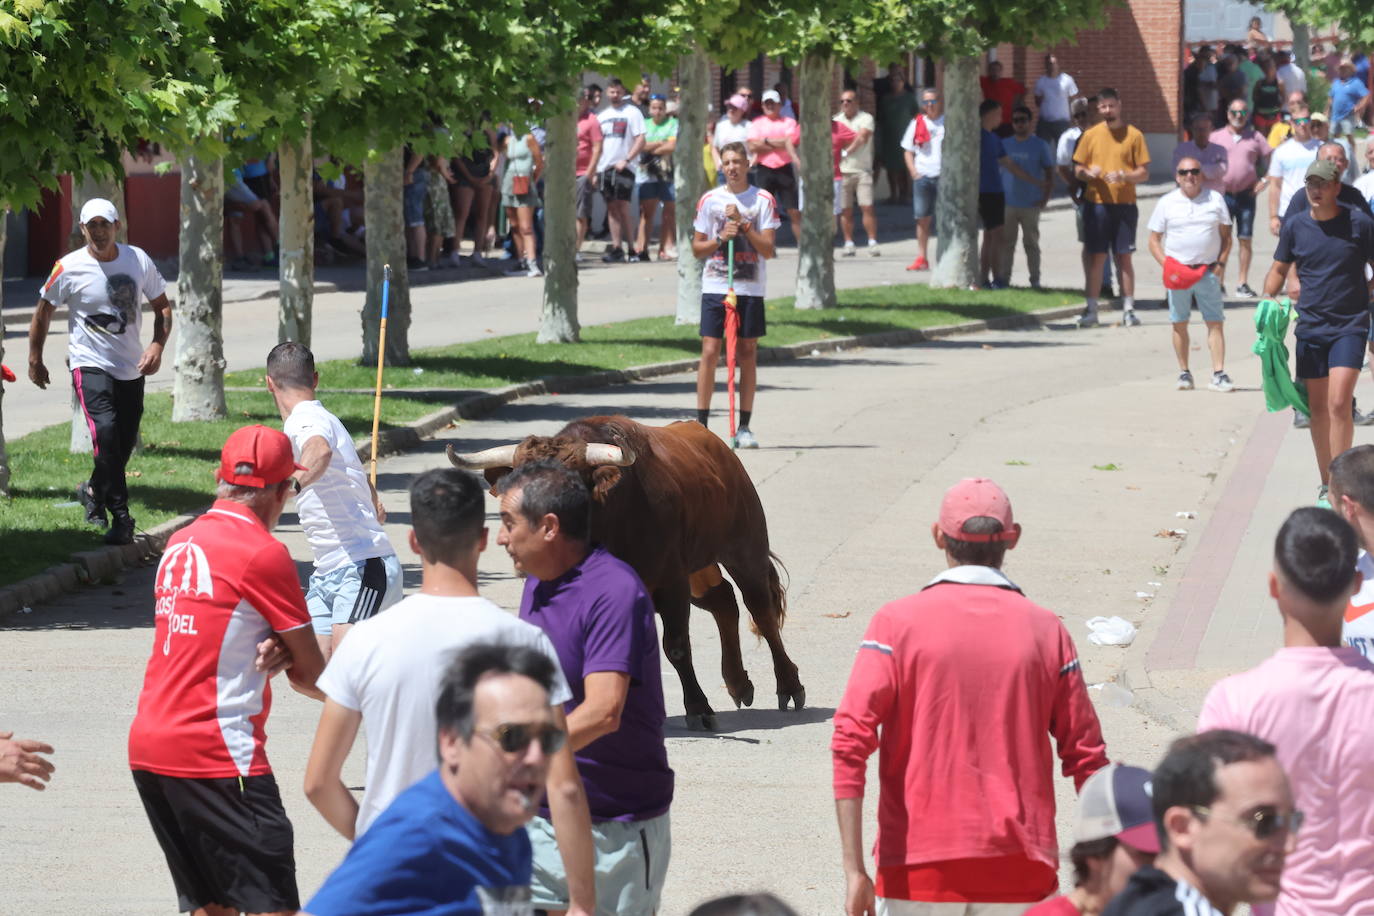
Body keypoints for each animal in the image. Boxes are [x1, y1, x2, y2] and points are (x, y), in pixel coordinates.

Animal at [445, 414, 802, 730]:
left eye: (571, 482)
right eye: (516, 481)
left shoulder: (671, 583)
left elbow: (676, 645)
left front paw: (698, 708)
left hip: (744, 549)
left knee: (761, 610)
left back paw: (789, 686)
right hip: (698, 568)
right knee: (723, 601)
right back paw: (738, 683)